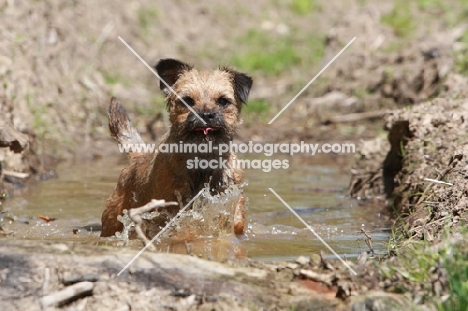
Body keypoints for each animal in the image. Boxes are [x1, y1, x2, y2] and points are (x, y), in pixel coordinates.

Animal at [99, 59, 252, 239]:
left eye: (223, 101)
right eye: (187, 100)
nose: (205, 115)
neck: (202, 158)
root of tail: (138, 157)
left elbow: (236, 221)